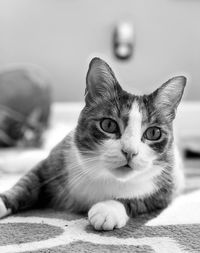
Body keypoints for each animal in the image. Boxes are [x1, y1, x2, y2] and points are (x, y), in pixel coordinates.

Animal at [0, 57, 186, 231]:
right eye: (108, 125)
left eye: (153, 133)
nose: (130, 152)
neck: (104, 176)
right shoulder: (54, 165)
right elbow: (28, 183)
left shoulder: (167, 186)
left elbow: (139, 199)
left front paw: (108, 209)